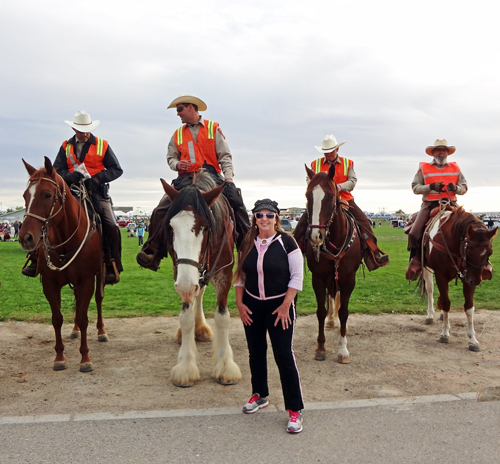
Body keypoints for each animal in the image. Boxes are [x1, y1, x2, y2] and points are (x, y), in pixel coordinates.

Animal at [19, 158, 108, 372]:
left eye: (47, 194)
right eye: (26, 195)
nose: (25, 238)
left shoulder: (86, 281)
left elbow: (84, 318)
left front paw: (85, 358)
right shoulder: (49, 284)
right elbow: (57, 318)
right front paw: (59, 357)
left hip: (99, 274)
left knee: (99, 299)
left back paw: (101, 331)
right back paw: (74, 330)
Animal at [160, 171, 242, 388]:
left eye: (205, 227)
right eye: (171, 226)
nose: (186, 284)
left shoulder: (224, 275)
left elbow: (222, 317)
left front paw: (225, 365)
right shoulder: (182, 275)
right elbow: (186, 317)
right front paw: (186, 366)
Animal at [294, 165, 362, 364]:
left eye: (331, 196)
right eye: (308, 195)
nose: (316, 236)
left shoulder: (349, 280)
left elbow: (344, 312)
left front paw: (343, 350)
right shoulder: (318, 279)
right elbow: (321, 311)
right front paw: (321, 348)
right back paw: (331, 321)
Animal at [422, 207, 496, 352]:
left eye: (489, 252)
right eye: (469, 250)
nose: (476, 281)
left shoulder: (468, 278)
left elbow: (469, 307)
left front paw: (472, 340)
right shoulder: (441, 275)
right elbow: (446, 303)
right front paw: (445, 334)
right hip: (427, 269)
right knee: (430, 289)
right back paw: (430, 315)